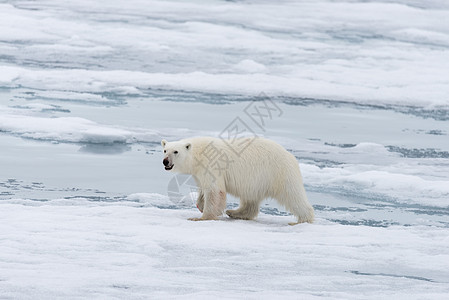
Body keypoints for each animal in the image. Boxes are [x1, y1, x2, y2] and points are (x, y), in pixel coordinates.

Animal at [160, 137, 312, 225]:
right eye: (165, 150)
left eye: (176, 151)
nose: (165, 161)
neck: (199, 152)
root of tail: (291, 156)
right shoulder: (199, 171)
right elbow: (203, 188)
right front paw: (201, 206)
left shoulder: (211, 164)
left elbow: (214, 190)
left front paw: (202, 217)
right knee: (250, 200)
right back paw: (234, 212)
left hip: (279, 173)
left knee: (293, 195)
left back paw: (302, 220)